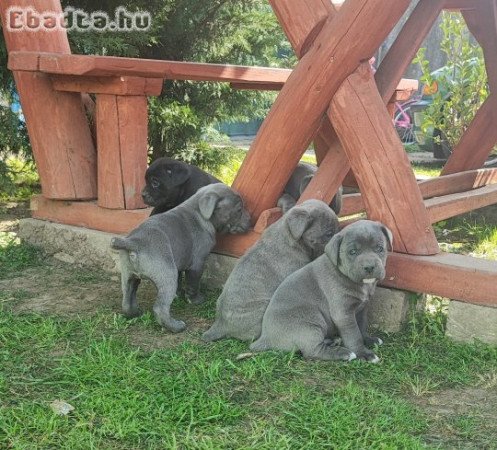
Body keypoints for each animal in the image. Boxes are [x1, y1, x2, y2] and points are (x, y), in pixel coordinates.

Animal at [110, 184, 250, 334]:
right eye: (239, 209)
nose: (251, 220)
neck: (198, 212)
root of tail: (134, 242)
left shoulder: (178, 264)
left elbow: (180, 280)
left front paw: (178, 295)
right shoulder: (197, 264)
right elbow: (193, 284)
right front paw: (196, 300)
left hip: (129, 276)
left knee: (127, 298)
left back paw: (135, 313)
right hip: (166, 275)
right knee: (160, 308)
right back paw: (176, 326)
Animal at [250, 220, 394, 364]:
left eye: (379, 248)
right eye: (352, 252)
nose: (369, 267)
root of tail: (265, 337)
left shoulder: (362, 309)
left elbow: (362, 326)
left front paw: (369, 340)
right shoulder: (343, 313)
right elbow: (354, 334)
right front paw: (363, 353)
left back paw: (333, 341)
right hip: (309, 323)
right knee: (312, 352)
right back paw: (344, 353)